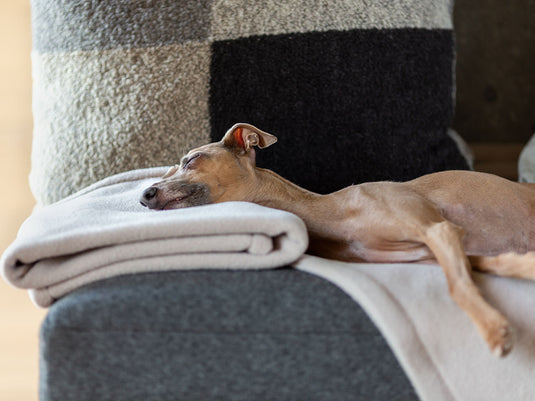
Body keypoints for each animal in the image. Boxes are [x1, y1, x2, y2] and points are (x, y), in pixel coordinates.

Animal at [141, 122, 535, 356]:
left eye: (191, 160)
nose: (144, 195)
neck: (332, 211)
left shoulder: (437, 229)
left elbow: (457, 285)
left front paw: (494, 329)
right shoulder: (432, 250)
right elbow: (486, 265)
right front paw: (522, 266)